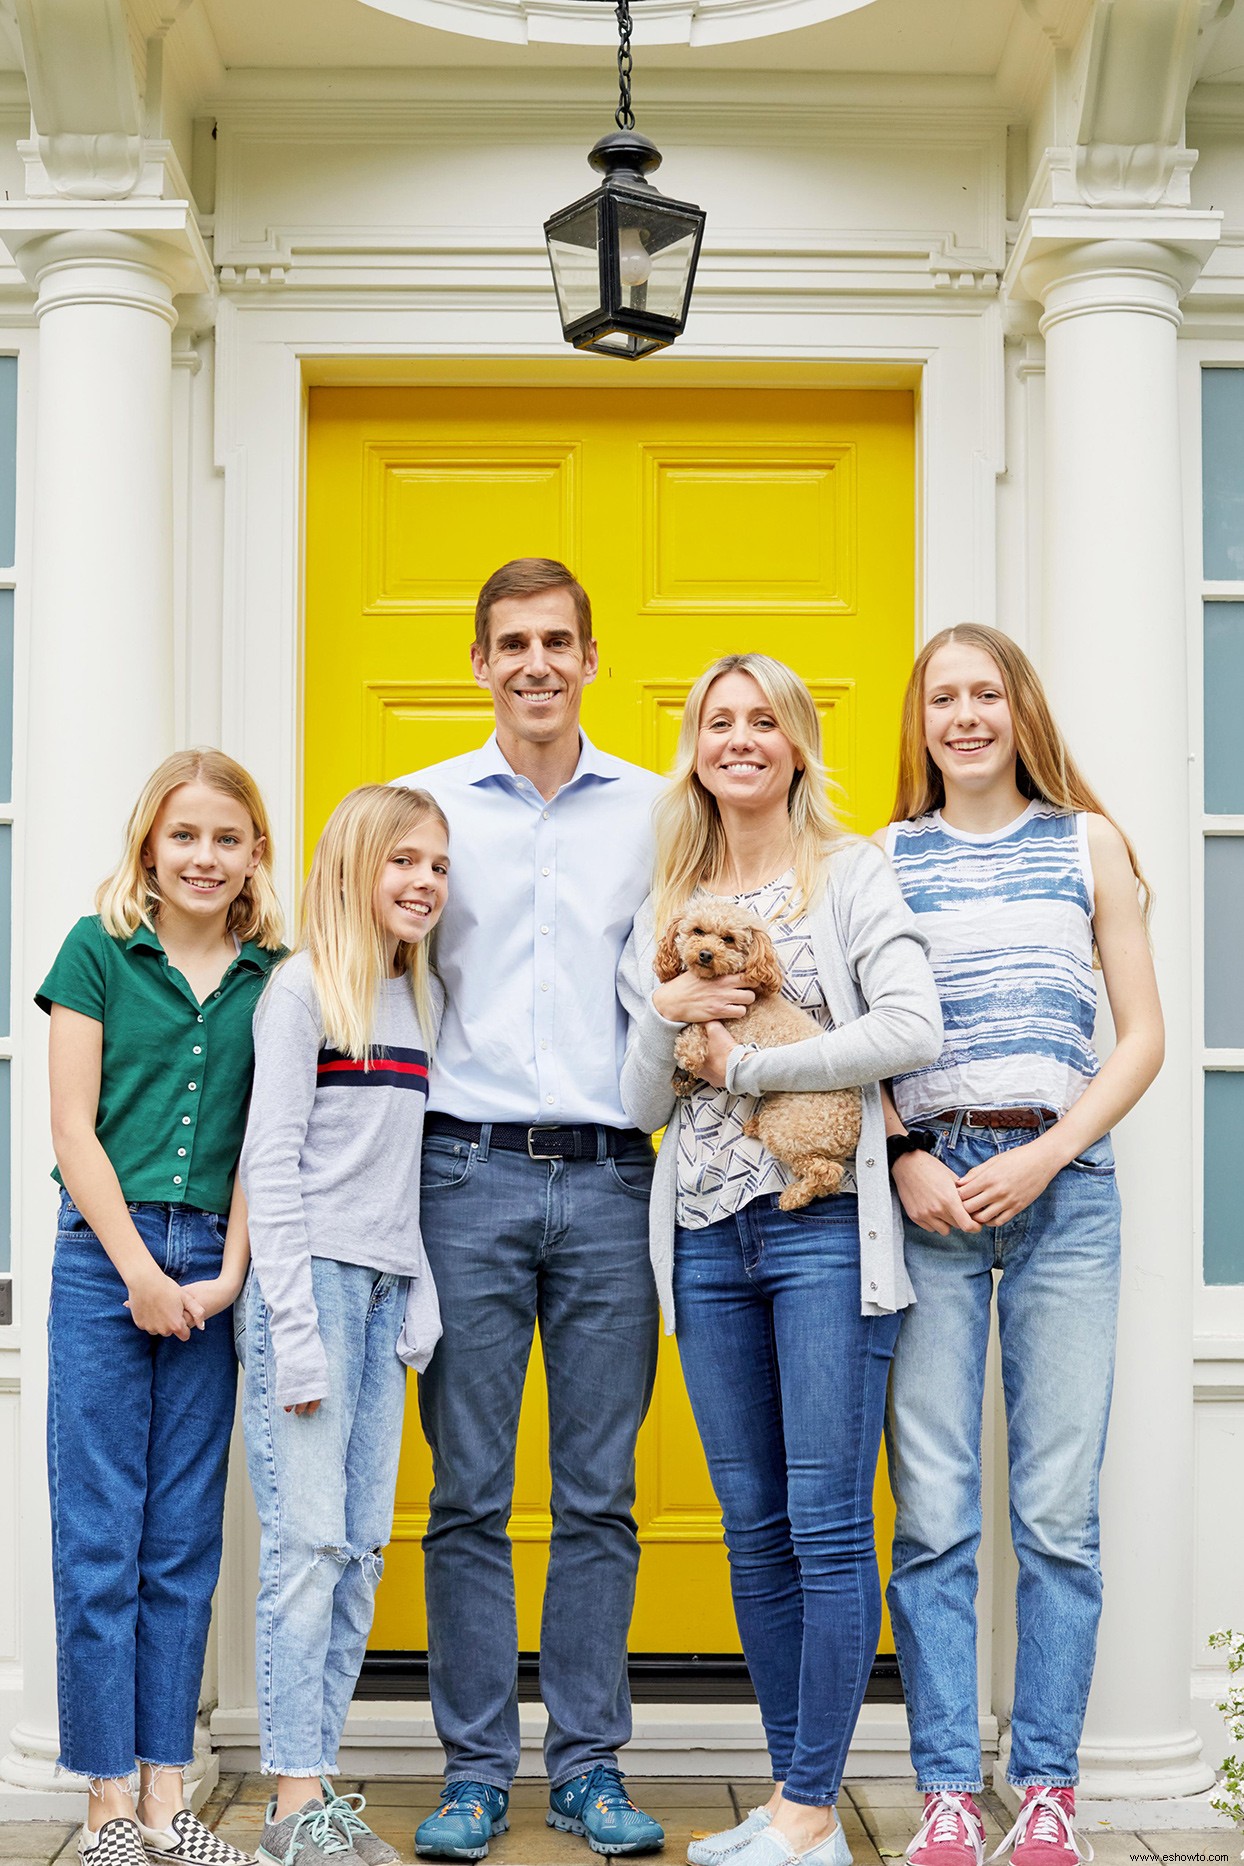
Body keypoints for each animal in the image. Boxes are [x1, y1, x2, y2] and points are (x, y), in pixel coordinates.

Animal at [652, 899, 865, 1209]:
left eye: (728, 939)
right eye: (697, 931)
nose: (705, 954)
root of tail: (849, 1132)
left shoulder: (722, 1019)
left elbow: (693, 1031)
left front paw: (688, 1056)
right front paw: (683, 1080)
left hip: (787, 1129)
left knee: (826, 1173)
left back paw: (793, 1197)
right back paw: (754, 1126)